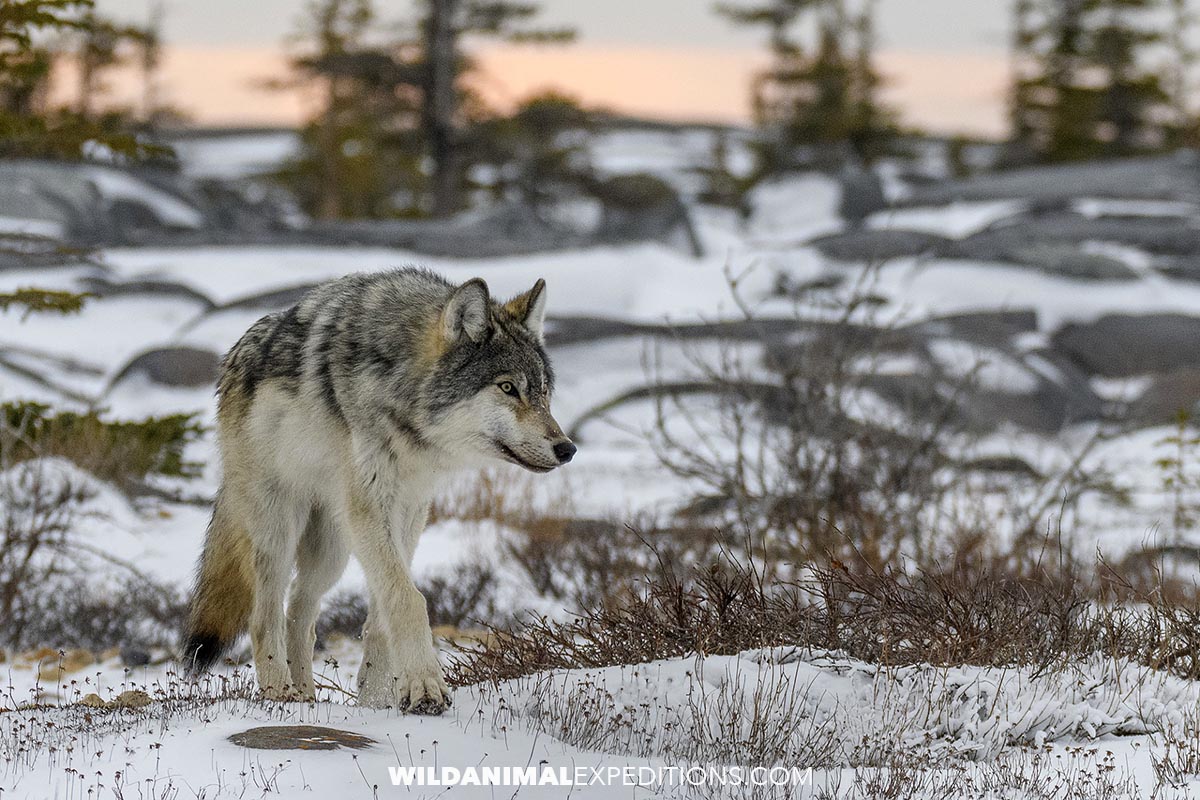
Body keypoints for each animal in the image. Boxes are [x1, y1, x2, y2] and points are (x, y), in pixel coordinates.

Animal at [181, 267, 574, 713]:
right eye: (507, 388)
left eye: (543, 392)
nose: (567, 449)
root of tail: (230, 362)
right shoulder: (370, 509)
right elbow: (408, 599)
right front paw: (425, 687)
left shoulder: (410, 509)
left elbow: (384, 610)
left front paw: (378, 698)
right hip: (279, 531)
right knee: (265, 618)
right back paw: (281, 696)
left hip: (332, 550)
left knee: (299, 611)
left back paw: (306, 697)